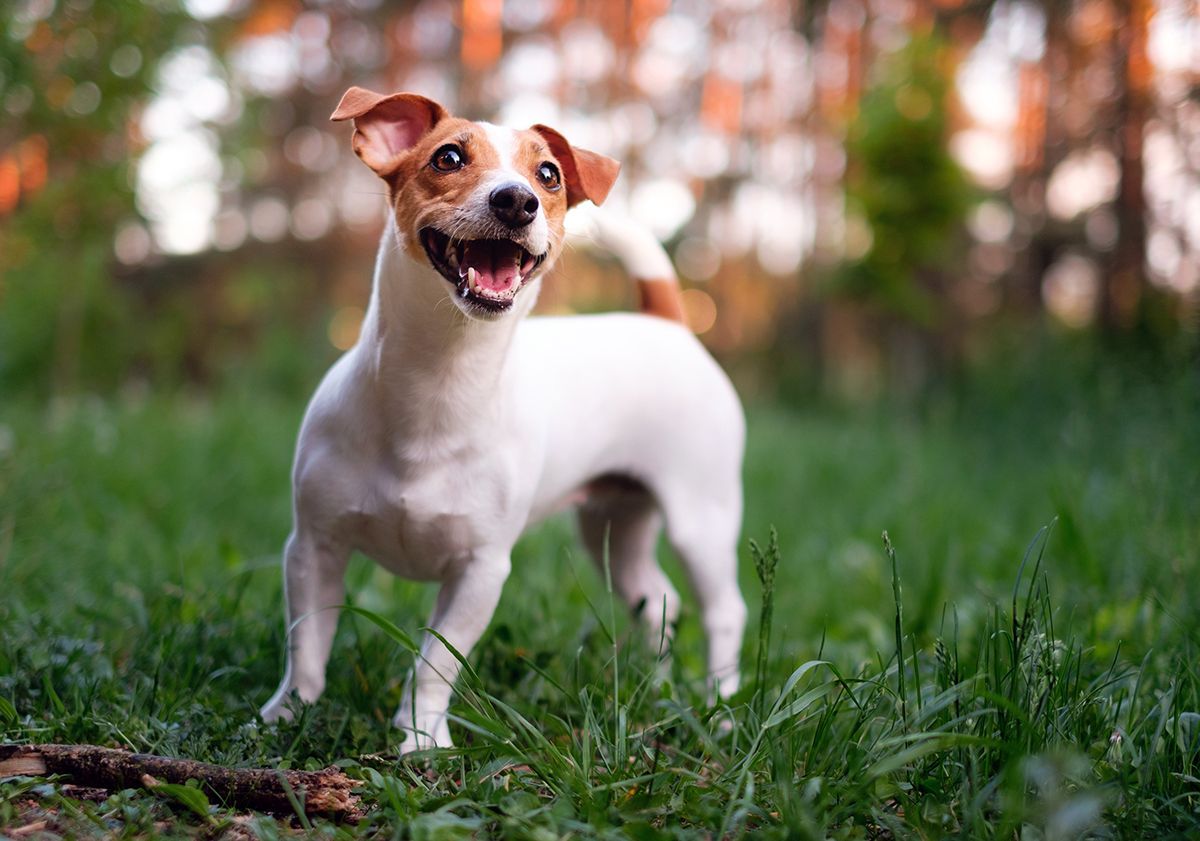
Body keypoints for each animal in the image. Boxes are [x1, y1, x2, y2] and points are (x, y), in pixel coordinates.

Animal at [262, 88, 744, 753]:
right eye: (447, 157)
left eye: (549, 175)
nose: (517, 200)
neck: (439, 381)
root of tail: (667, 322)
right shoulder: (314, 548)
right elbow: (307, 642)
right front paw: (290, 714)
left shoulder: (481, 572)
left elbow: (434, 663)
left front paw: (421, 739)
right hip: (614, 526)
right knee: (657, 598)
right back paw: (655, 683)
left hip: (702, 519)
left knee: (724, 611)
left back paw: (720, 707)